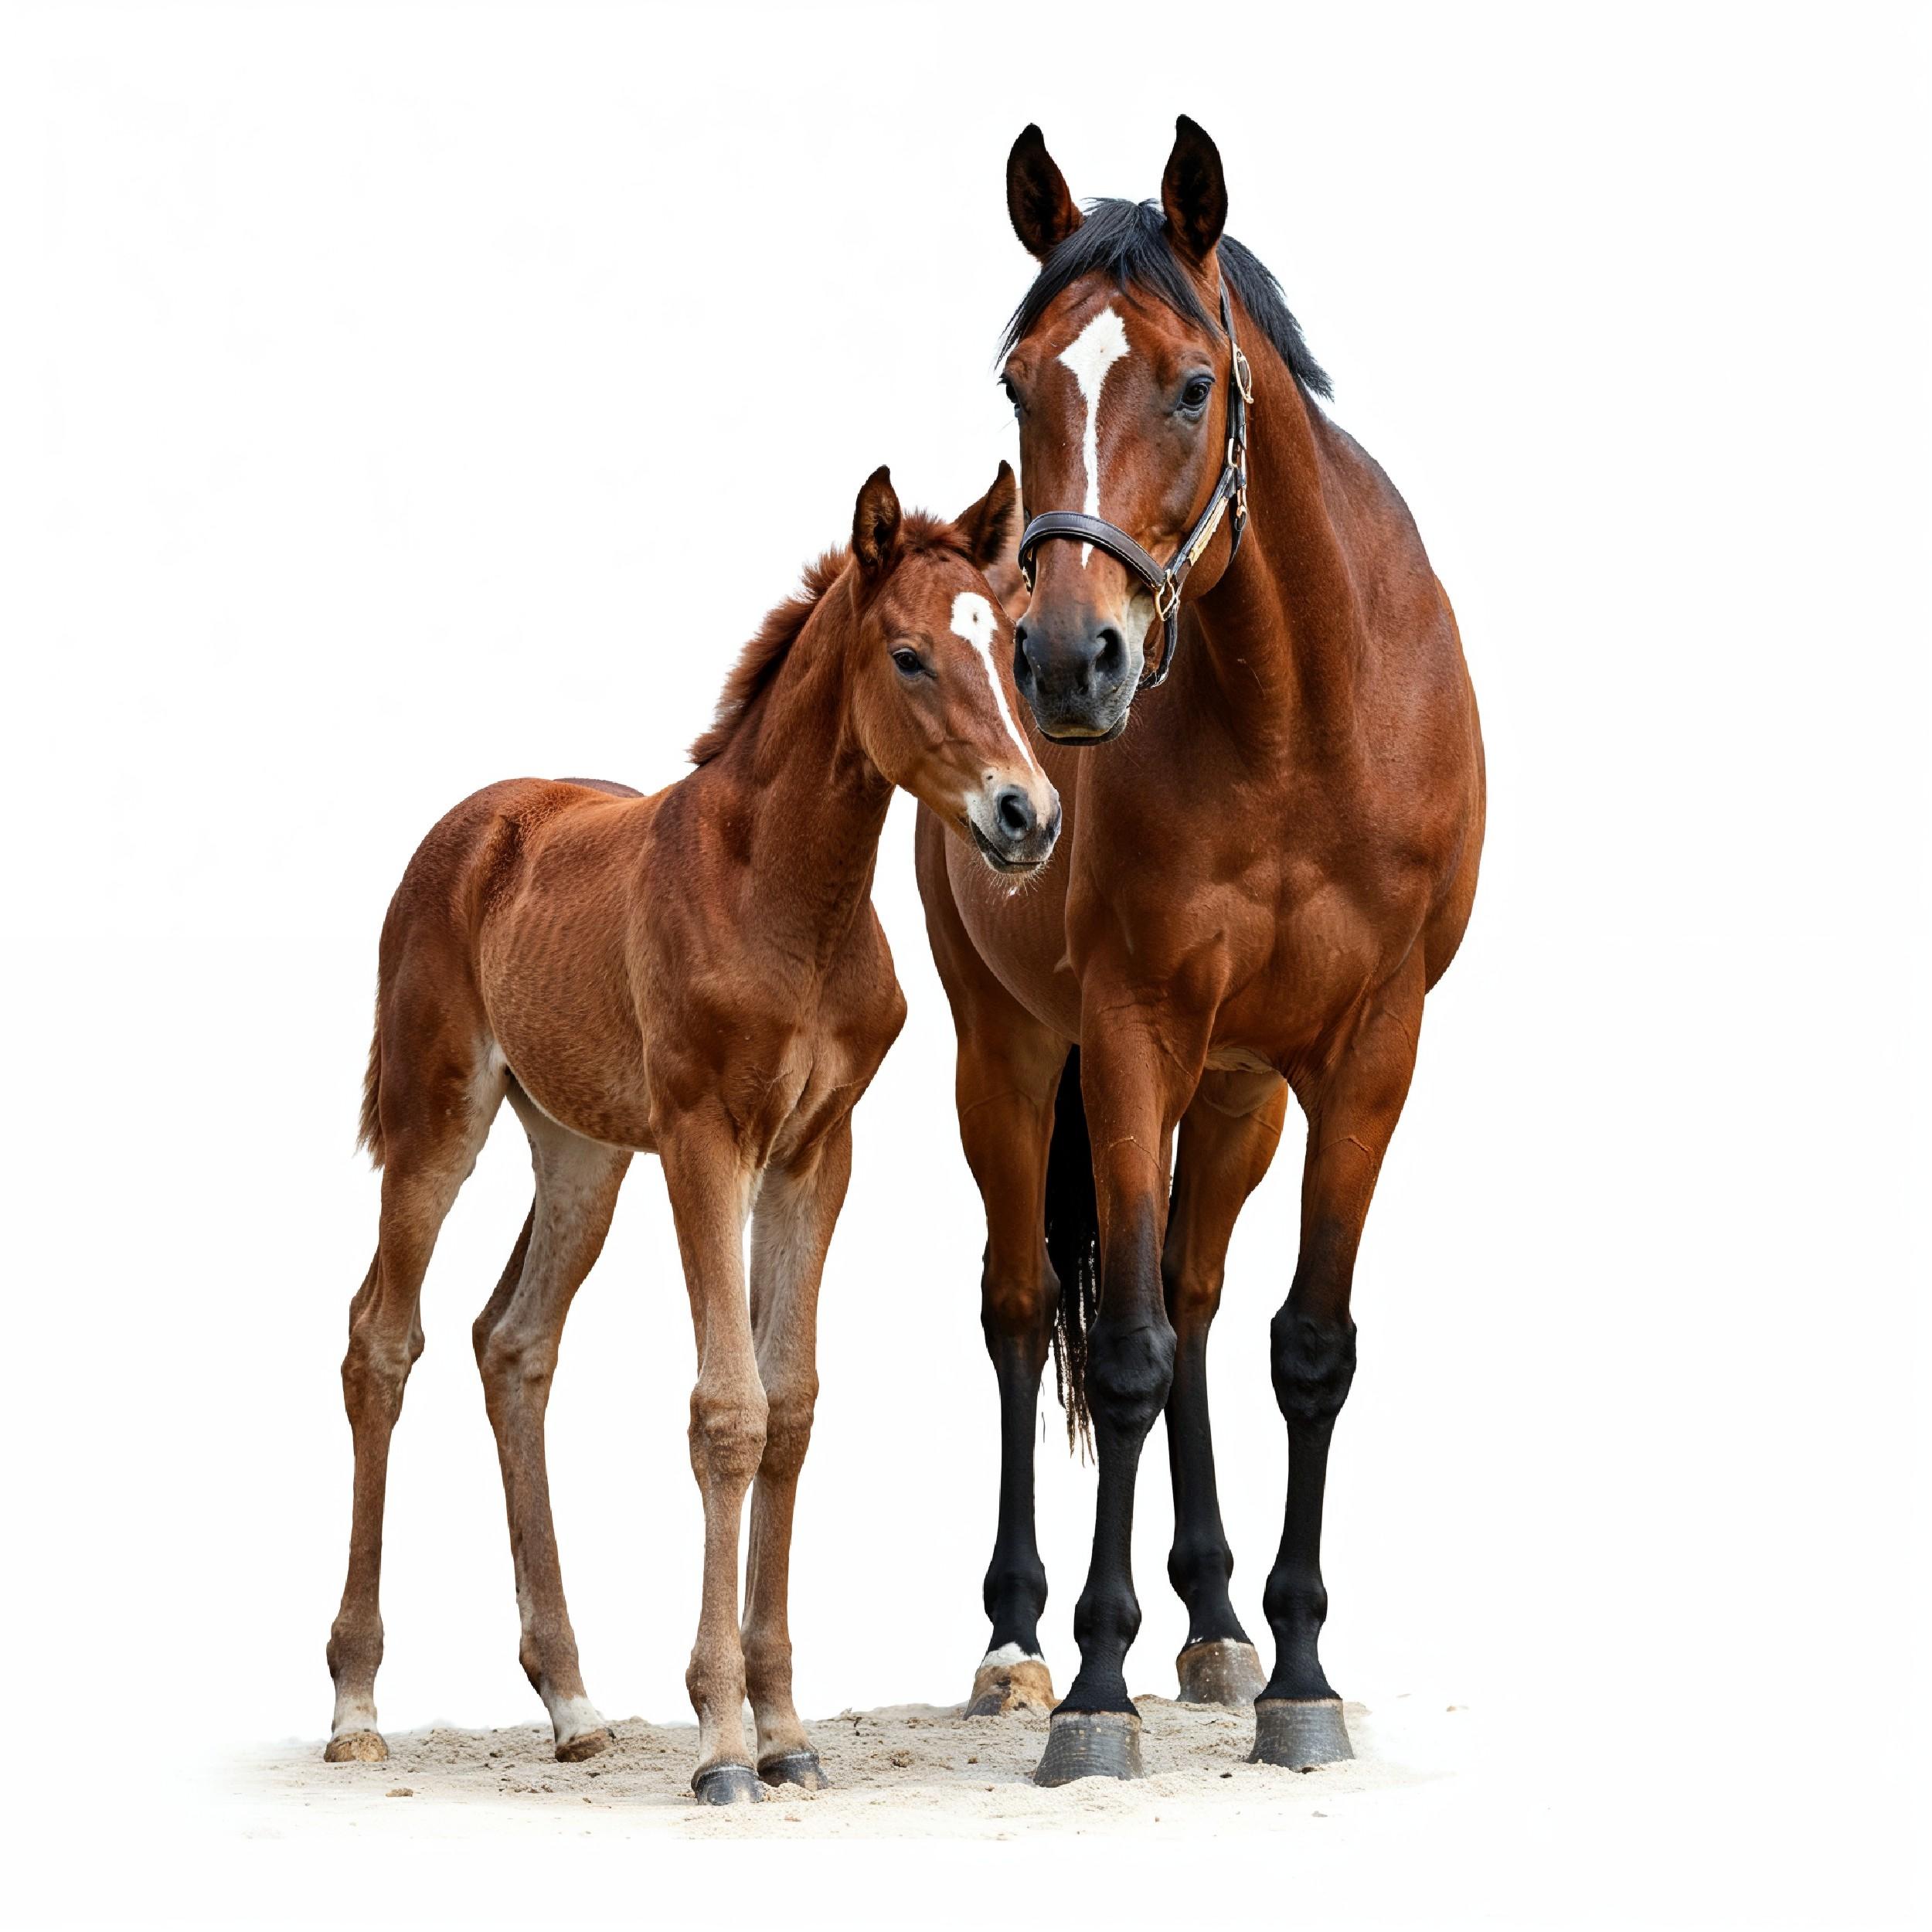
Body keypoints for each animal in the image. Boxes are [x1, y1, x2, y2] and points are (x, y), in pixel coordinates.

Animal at [325, 463, 1060, 1804]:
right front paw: (722, 1741)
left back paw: (572, 1701)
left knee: (513, 1343)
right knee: (380, 1341)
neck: (787, 898)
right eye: (909, 654)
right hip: (436, 1116)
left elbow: (794, 1406)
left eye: (1012, 647)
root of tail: (476, 823)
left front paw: (785, 1732)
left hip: (583, 1153)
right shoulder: (708, 1143)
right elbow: (729, 1411)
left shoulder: (817, 1153)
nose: (1026, 816)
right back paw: (356, 1702)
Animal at [915, 118, 1485, 1785]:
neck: (1296, 714)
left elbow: (1305, 1346)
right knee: (1022, 1307)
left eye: (1187, 385)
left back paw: (1218, 1620)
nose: (1062, 664)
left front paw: (1296, 1667)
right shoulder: (1126, 1035)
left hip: (1235, 1096)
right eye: (1017, 383)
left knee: (1199, 1290)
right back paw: (1019, 1643)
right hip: (1007, 1053)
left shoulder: (1364, 1055)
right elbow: (1119, 1351)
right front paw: (1098, 1692)